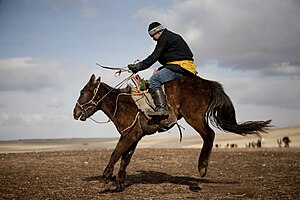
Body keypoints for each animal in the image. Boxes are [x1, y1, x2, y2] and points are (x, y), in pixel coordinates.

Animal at [73, 74, 272, 191]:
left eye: (82, 92)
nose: (75, 113)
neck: (121, 104)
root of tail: (207, 83)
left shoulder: (127, 136)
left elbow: (115, 153)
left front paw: (107, 177)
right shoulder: (134, 137)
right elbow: (125, 158)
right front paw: (119, 183)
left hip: (194, 117)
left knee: (209, 135)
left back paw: (202, 168)